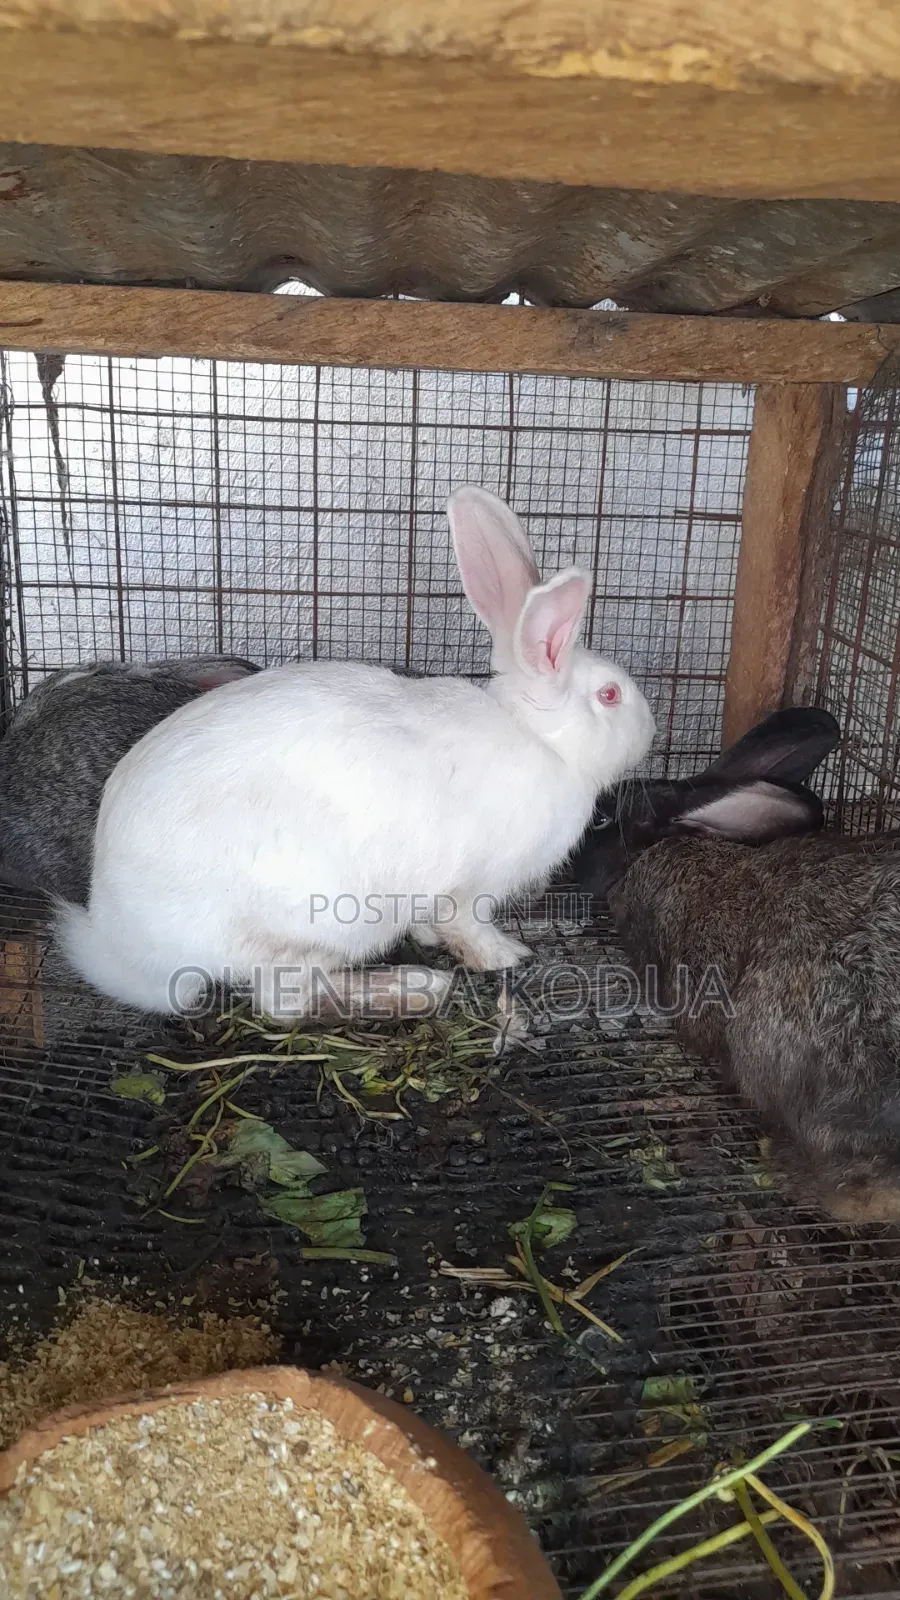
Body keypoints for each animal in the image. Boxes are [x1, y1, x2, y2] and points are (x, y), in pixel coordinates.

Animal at [55, 485, 656, 1022]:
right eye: (610, 695)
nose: (651, 730)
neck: (538, 739)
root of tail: (124, 942)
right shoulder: (470, 886)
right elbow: (468, 926)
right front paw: (504, 956)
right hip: (317, 922)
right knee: (285, 1001)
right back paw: (414, 988)